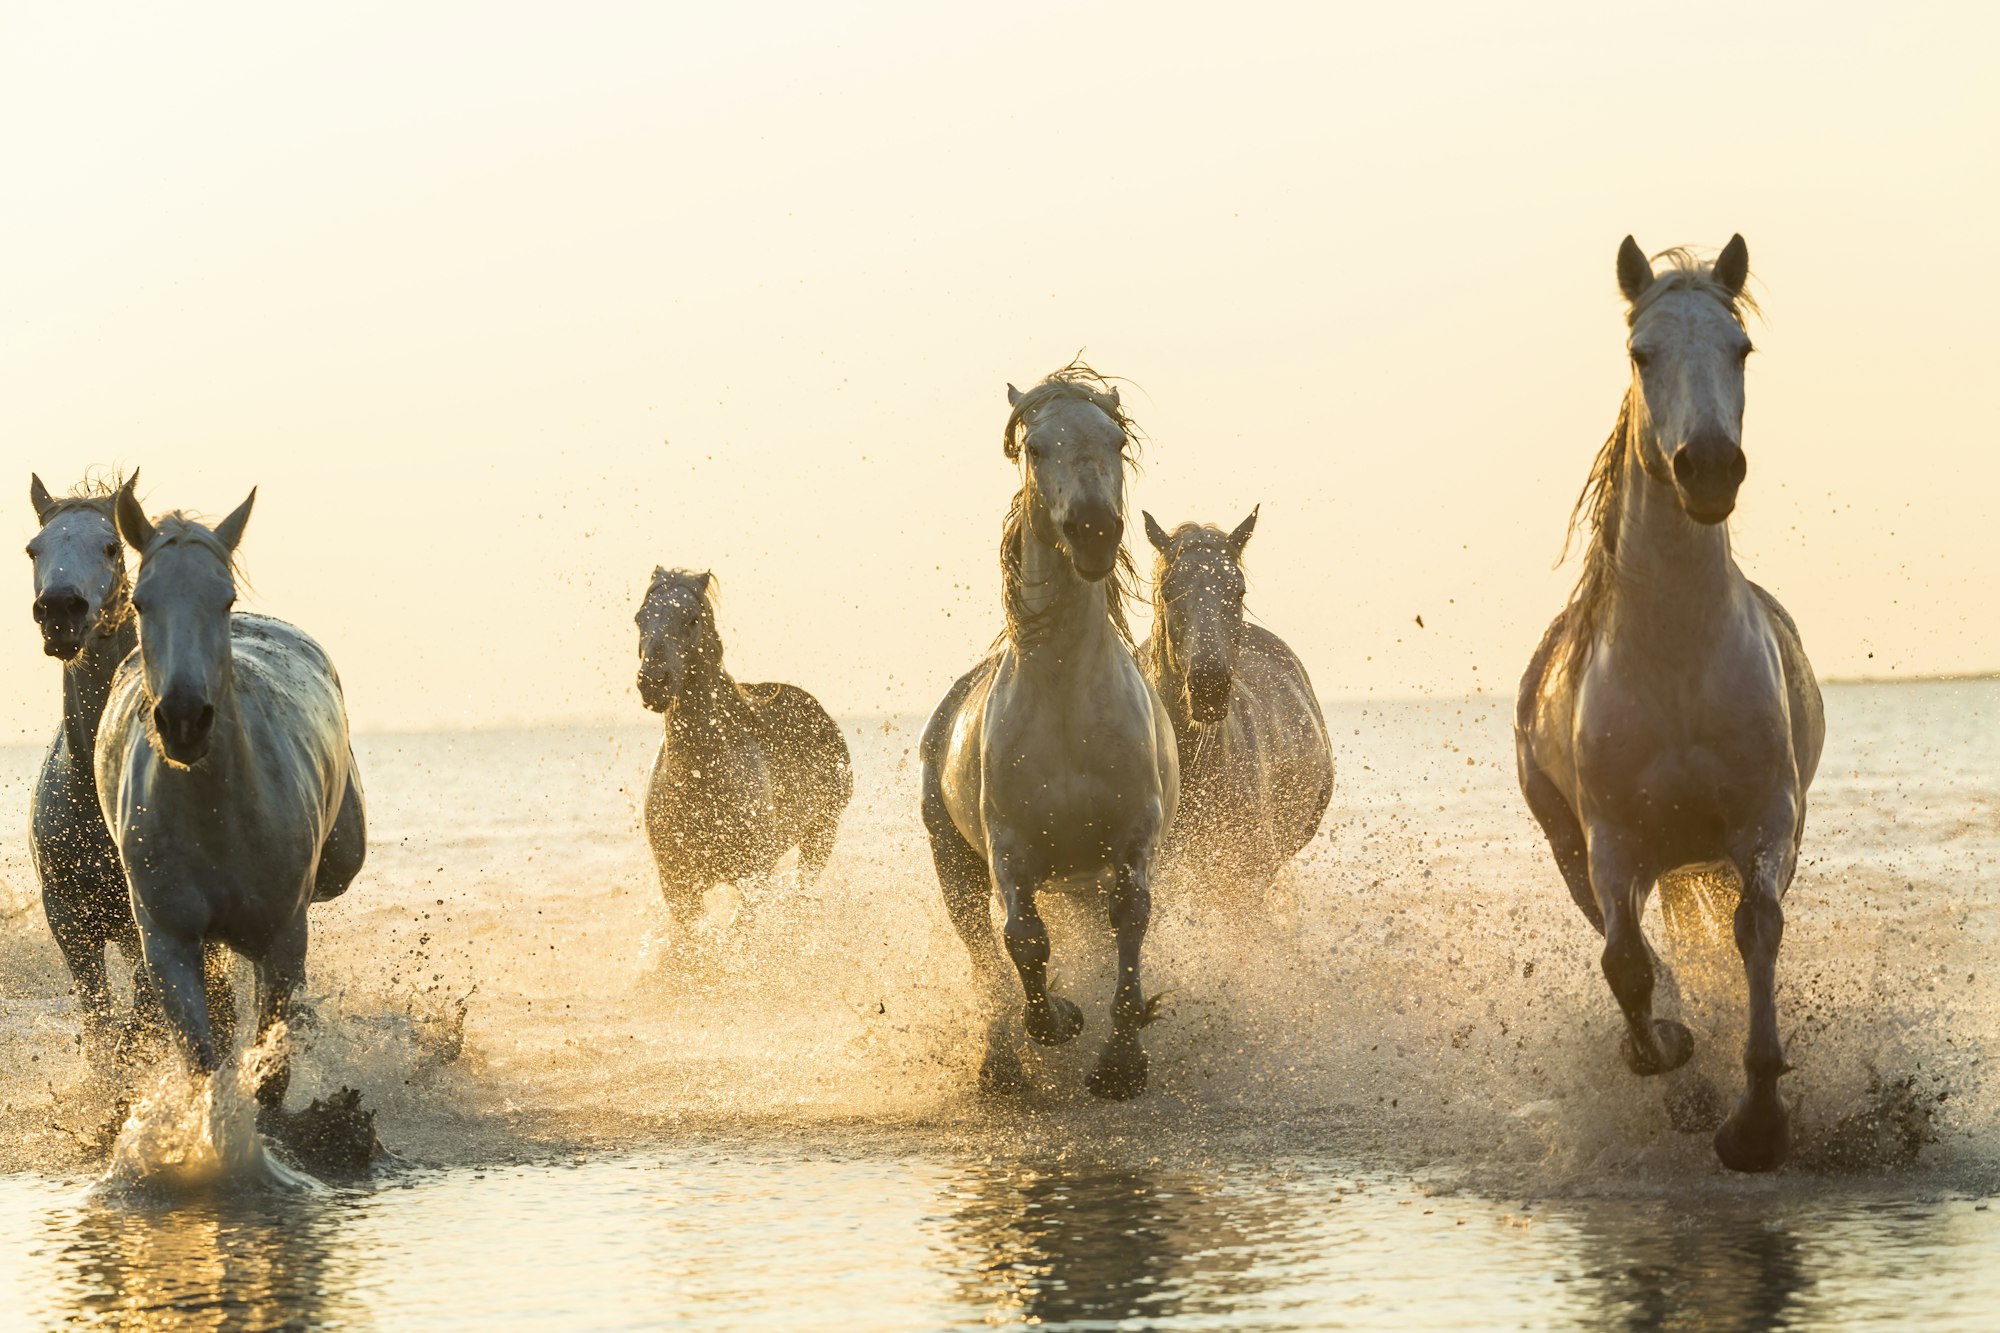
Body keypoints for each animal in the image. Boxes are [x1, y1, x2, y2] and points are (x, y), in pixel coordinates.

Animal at [96, 482, 368, 1104]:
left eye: (223, 600)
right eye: (141, 602)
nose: (184, 720)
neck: (216, 817)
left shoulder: (282, 942)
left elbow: (273, 1071)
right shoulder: (169, 947)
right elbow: (204, 1062)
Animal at [636, 564, 848, 920]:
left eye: (692, 619)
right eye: (640, 618)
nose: (653, 682)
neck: (699, 779)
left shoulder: (754, 876)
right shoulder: (678, 887)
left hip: (821, 832)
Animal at [916, 358, 1176, 1096]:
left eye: (1116, 442)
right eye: (1034, 447)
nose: (1093, 529)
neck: (1065, 708)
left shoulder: (1133, 833)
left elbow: (1131, 916)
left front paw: (1121, 1062)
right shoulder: (1009, 847)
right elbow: (1024, 939)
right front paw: (1058, 1020)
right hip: (954, 865)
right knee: (983, 954)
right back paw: (1002, 1067)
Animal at [1512, 233, 1832, 1168]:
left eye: (1741, 348)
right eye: (1640, 352)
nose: (1711, 467)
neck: (1677, 661)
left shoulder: (1767, 817)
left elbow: (1757, 929)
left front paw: (1757, 1124)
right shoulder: (1613, 841)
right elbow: (1627, 964)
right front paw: (1675, 1067)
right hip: (1579, 851)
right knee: (1630, 946)